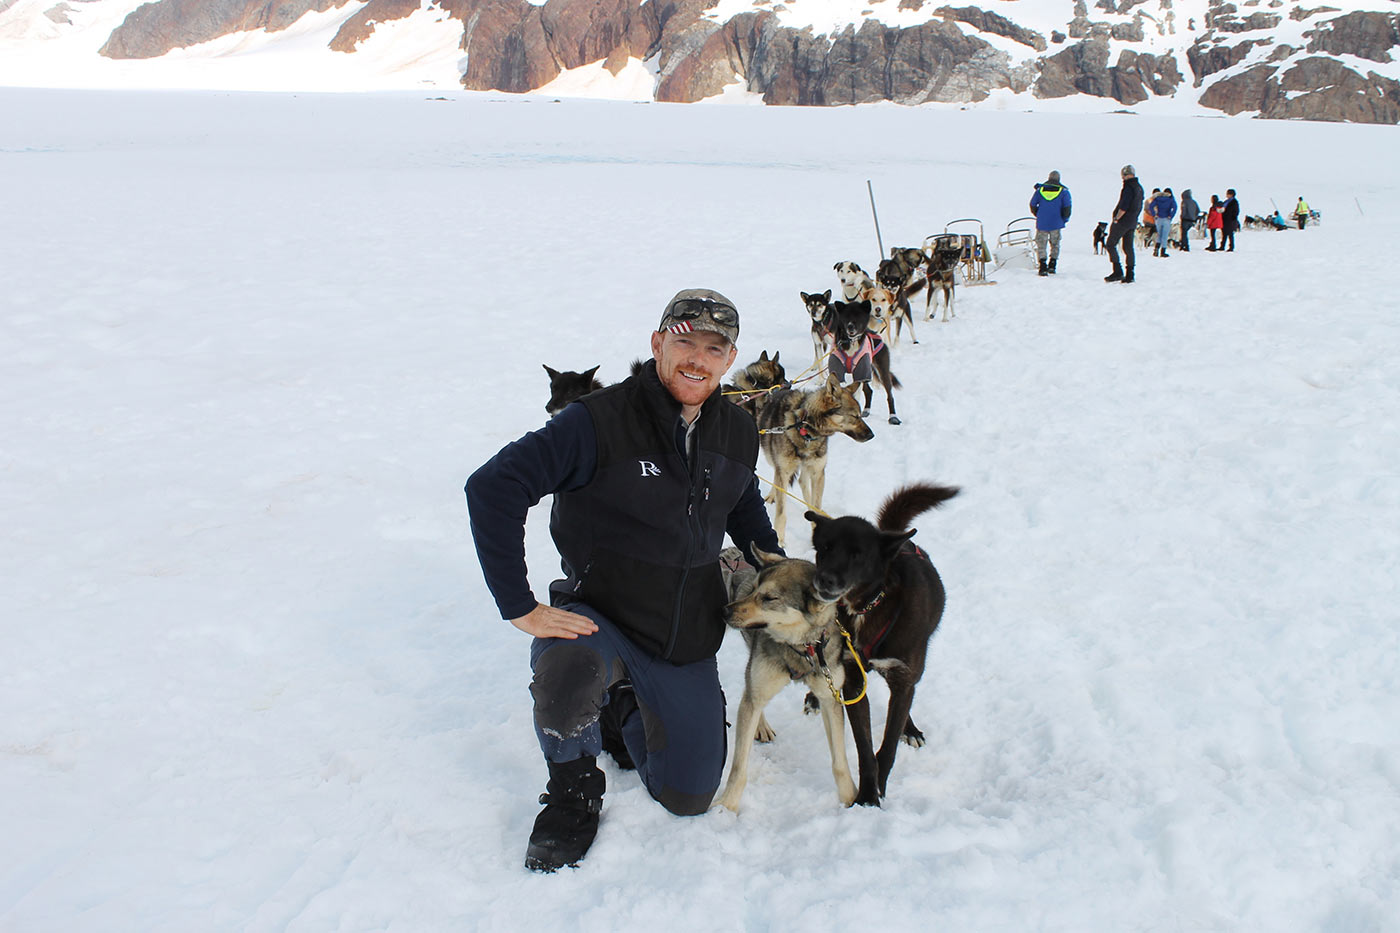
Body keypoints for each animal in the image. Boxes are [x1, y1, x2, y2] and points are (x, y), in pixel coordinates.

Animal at [716, 549, 858, 812]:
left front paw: (851, 798)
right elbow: (739, 767)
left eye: (769, 598)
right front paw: (726, 806)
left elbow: (840, 762)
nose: (724, 611)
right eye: (753, 589)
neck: (800, 649)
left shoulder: (829, 698)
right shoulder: (759, 685)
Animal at [755, 379, 873, 546]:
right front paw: (779, 539)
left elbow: (816, 505)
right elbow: (781, 511)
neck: (805, 430)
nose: (872, 435)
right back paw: (773, 495)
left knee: (802, 482)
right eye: (854, 416)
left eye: (860, 415)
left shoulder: (818, 472)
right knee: (779, 477)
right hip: (772, 458)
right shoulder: (784, 470)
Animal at [804, 482, 960, 806]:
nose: (823, 580)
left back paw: (909, 728)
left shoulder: (901, 675)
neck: (866, 609)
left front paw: (879, 793)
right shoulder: (853, 682)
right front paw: (867, 796)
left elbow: (887, 747)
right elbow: (865, 750)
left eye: (857, 555)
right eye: (825, 548)